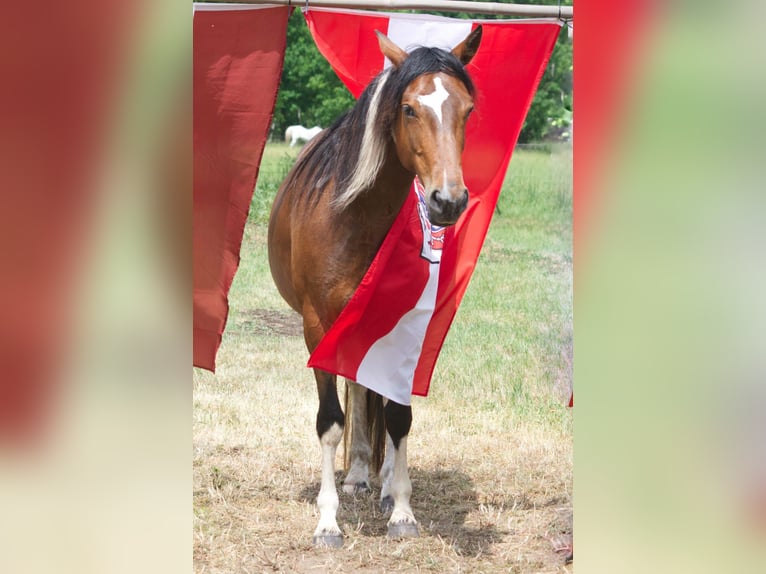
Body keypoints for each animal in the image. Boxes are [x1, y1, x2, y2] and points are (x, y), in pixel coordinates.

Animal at [268, 27, 484, 548]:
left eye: (467, 109)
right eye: (408, 108)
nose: (448, 200)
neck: (353, 219)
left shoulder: (400, 327)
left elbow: (398, 416)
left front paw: (402, 510)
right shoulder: (317, 328)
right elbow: (331, 422)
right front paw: (328, 520)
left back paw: (379, 481)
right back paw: (357, 475)